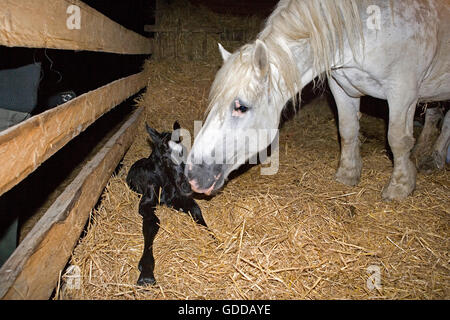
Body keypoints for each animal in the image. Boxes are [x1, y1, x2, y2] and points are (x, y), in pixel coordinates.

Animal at [185, 0, 450, 200]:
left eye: (241, 107)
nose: (192, 175)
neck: (370, 27)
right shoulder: (342, 87)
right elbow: (348, 130)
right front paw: (347, 174)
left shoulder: (402, 92)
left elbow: (397, 140)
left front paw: (400, 187)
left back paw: (433, 159)